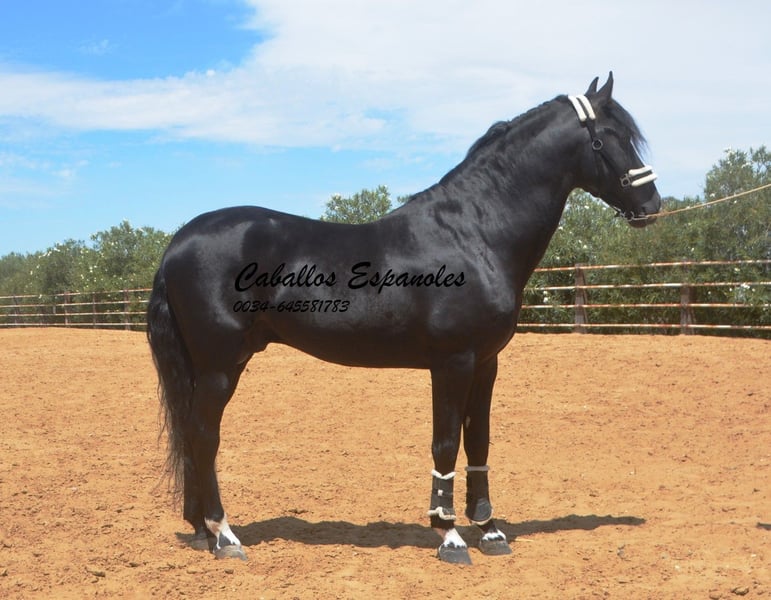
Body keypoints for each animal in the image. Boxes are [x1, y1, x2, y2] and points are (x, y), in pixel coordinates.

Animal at [147, 73, 661, 565]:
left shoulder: (486, 363)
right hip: (220, 366)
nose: (652, 205)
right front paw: (449, 536)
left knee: (192, 435)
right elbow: (446, 444)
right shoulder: (453, 362)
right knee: (203, 436)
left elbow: (479, 442)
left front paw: (490, 530)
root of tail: (178, 243)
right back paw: (224, 534)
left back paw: (201, 530)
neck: (475, 233)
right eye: (612, 136)